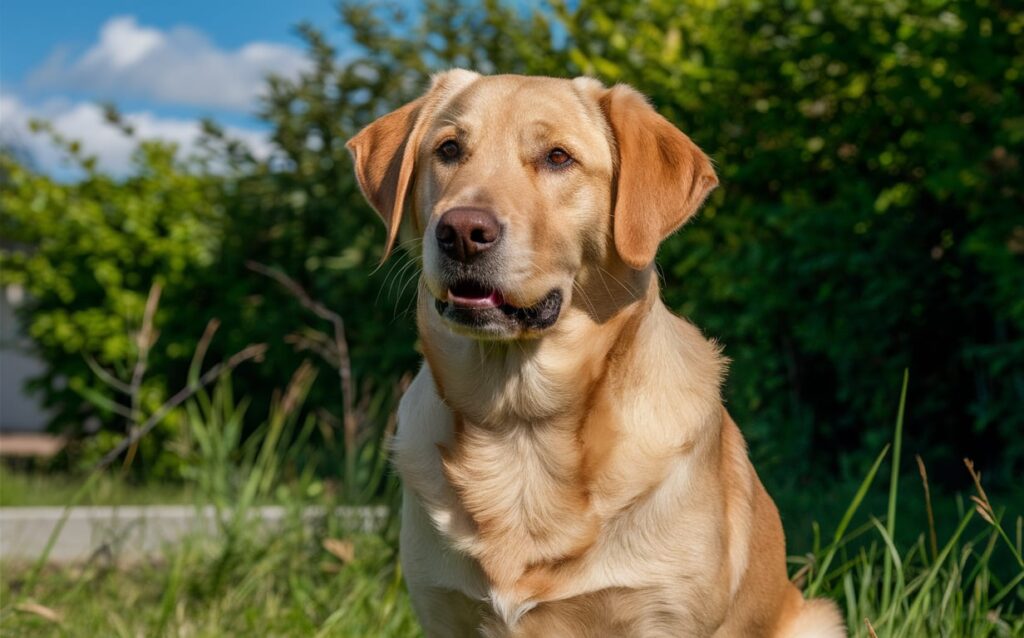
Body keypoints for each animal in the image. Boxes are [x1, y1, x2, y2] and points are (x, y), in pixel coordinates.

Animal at [348, 71, 843, 638]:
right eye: (448, 149)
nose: (462, 232)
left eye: (558, 157)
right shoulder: (442, 611)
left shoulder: (661, 614)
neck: (520, 423)